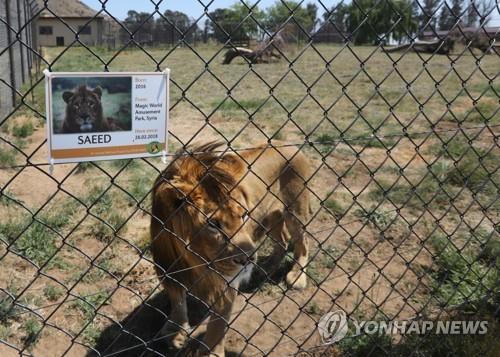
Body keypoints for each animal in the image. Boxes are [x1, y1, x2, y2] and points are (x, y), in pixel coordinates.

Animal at [150, 140, 310, 354]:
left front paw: (212, 353)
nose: (248, 259)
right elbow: (177, 299)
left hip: (296, 211)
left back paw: (297, 277)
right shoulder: (167, 267)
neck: (192, 259)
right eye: (213, 224)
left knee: (303, 242)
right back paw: (266, 267)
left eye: (244, 215)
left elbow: (219, 322)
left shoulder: (226, 280)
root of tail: (289, 143)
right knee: (283, 241)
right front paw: (175, 330)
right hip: (271, 216)